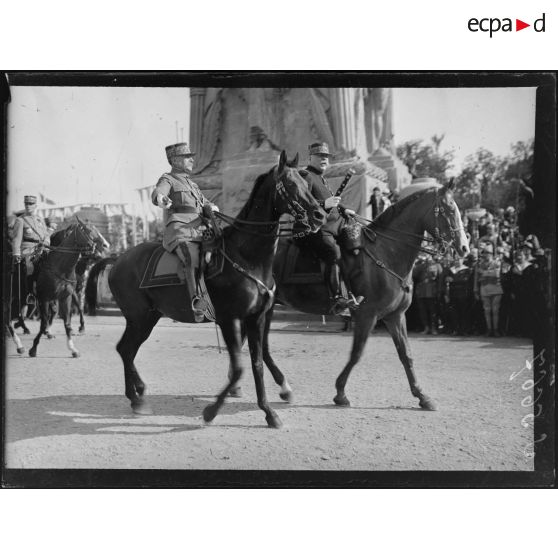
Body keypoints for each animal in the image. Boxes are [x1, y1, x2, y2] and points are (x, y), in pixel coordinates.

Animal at [27, 220, 110, 358]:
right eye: (87, 230)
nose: (105, 245)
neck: (59, 267)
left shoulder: (66, 296)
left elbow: (67, 319)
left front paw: (73, 348)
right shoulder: (44, 298)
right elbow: (44, 322)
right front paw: (33, 348)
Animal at [107, 152, 326, 428]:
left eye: (307, 183)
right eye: (289, 184)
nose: (320, 215)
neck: (247, 256)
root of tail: (117, 260)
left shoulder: (256, 317)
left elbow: (257, 362)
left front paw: (268, 411)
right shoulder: (229, 319)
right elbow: (240, 368)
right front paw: (211, 411)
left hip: (148, 318)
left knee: (127, 350)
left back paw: (139, 392)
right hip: (139, 318)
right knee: (126, 350)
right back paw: (136, 398)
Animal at [272, 179, 472, 412]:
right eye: (449, 209)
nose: (465, 248)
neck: (386, 252)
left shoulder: (395, 316)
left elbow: (406, 354)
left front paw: (422, 396)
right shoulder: (367, 315)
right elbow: (357, 354)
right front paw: (340, 393)